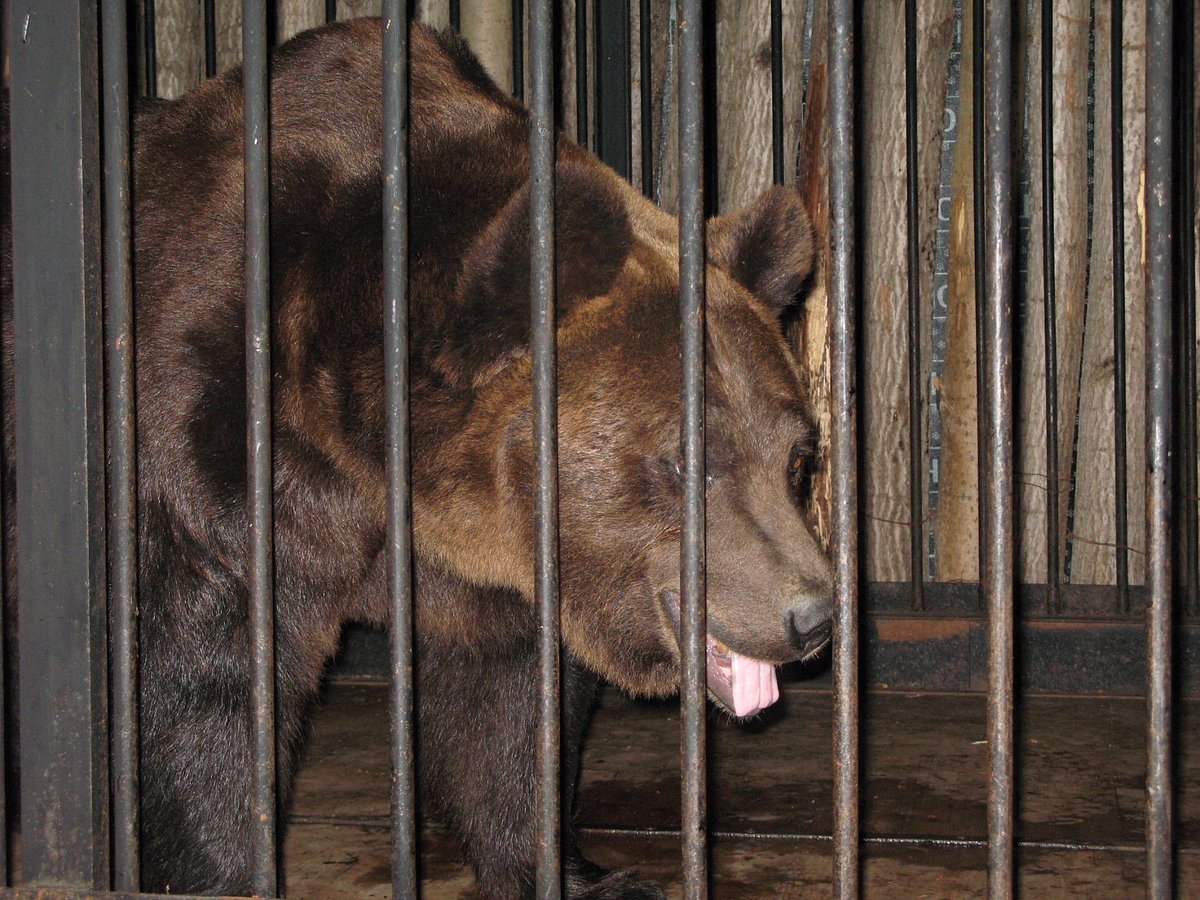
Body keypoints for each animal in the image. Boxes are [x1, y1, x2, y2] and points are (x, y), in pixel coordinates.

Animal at [7, 14, 835, 900]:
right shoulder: (208, 419)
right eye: (688, 458)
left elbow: (508, 702)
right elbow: (205, 677)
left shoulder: (493, 555)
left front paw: (575, 871)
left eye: (797, 456)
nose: (813, 615)